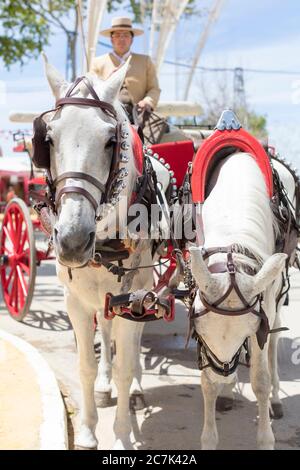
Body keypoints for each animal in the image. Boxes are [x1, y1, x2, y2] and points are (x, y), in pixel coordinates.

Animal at [42, 57, 170, 448]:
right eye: (48, 139)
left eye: (111, 141)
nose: (71, 241)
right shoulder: (75, 301)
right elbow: (84, 364)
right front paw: (86, 430)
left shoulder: (134, 296)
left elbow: (127, 366)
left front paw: (122, 436)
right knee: (107, 332)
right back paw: (103, 382)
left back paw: (138, 388)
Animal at [190, 152, 290, 450]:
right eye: (199, 331)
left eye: (250, 331)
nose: (221, 372)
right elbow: (207, 383)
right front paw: (209, 438)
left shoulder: (263, 316)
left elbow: (260, 382)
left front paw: (266, 439)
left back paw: (275, 400)